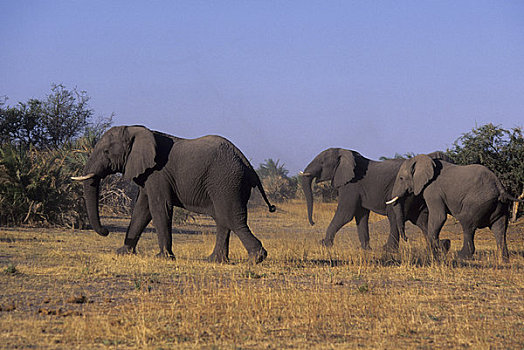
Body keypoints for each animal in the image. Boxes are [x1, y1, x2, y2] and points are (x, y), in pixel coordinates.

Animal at [71, 125, 276, 262]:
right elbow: (141, 210)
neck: (136, 130)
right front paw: (123, 253)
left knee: (231, 218)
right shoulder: (148, 173)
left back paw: (256, 258)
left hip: (226, 182)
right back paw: (215, 260)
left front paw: (162, 257)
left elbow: (159, 207)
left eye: (106, 151)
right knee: (222, 220)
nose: (106, 231)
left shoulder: (157, 172)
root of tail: (247, 163)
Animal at [298, 149, 450, 250]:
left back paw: (388, 249)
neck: (345, 152)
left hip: (404, 192)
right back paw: (440, 246)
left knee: (394, 217)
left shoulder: (351, 184)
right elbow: (361, 215)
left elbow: (345, 214)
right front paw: (366, 249)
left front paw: (324, 244)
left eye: (322, 162)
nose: (313, 223)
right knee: (420, 219)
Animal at [384, 154, 520, 262]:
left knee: (467, 225)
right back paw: (504, 259)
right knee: (500, 229)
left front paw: (439, 248)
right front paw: (441, 246)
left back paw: (462, 256)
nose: (406, 239)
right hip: (500, 206)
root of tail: (500, 187)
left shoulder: (433, 191)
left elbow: (439, 217)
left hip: (477, 202)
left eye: (401, 178)